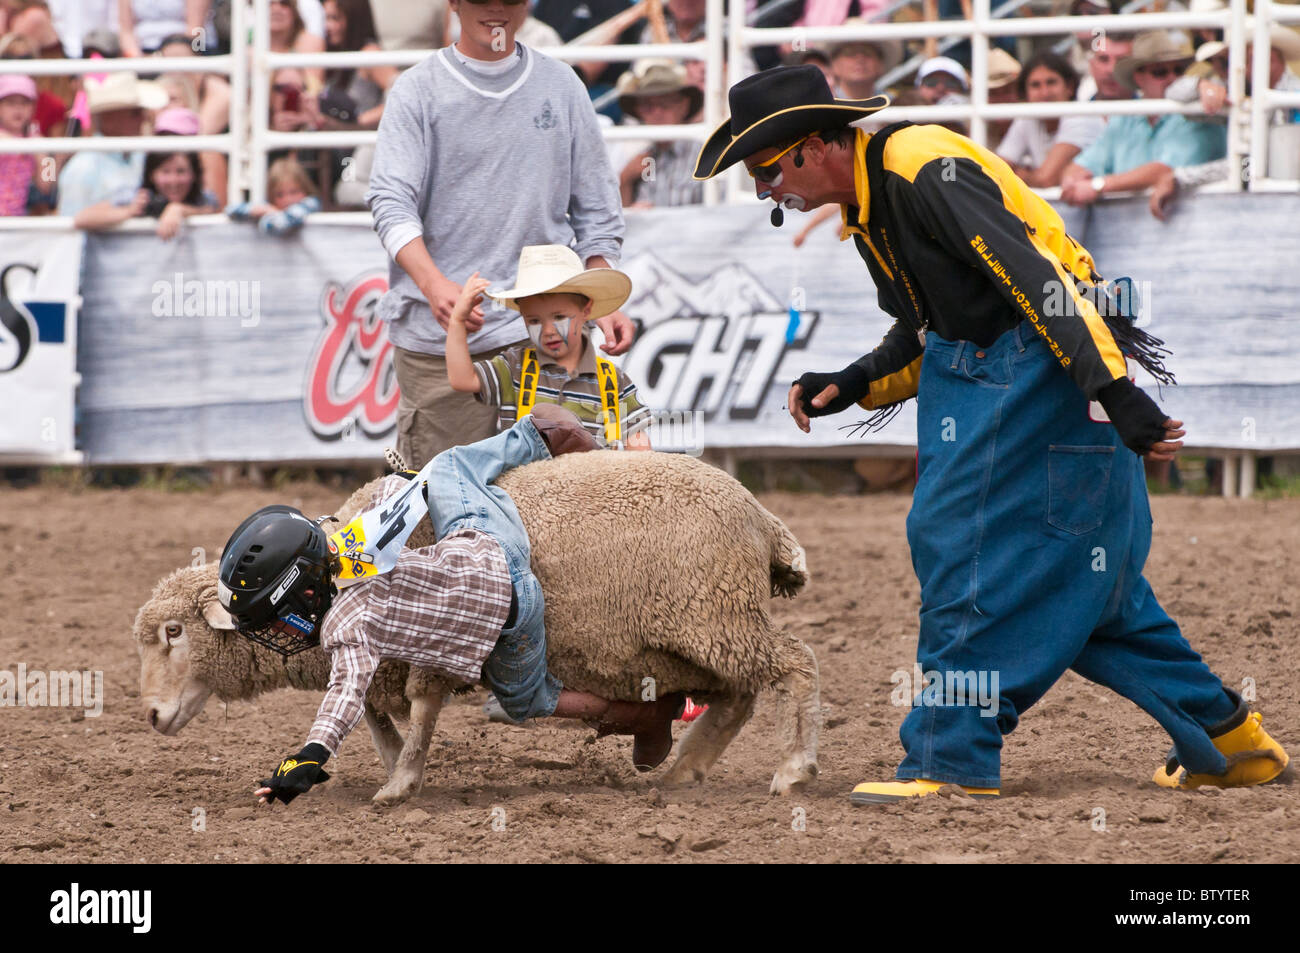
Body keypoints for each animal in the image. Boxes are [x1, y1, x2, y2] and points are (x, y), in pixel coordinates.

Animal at [135, 450, 819, 804]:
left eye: (174, 633)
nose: (150, 716)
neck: (339, 563)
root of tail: (760, 516)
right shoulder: (382, 661)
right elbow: (377, 718)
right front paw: (397, 773)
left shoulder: (417, 650)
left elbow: (416, 709)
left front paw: (400, 783)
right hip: (691, 639)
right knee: (737, 695)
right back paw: (682, 766)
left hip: (712, 615)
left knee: (797, 664)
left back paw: (794, 767)